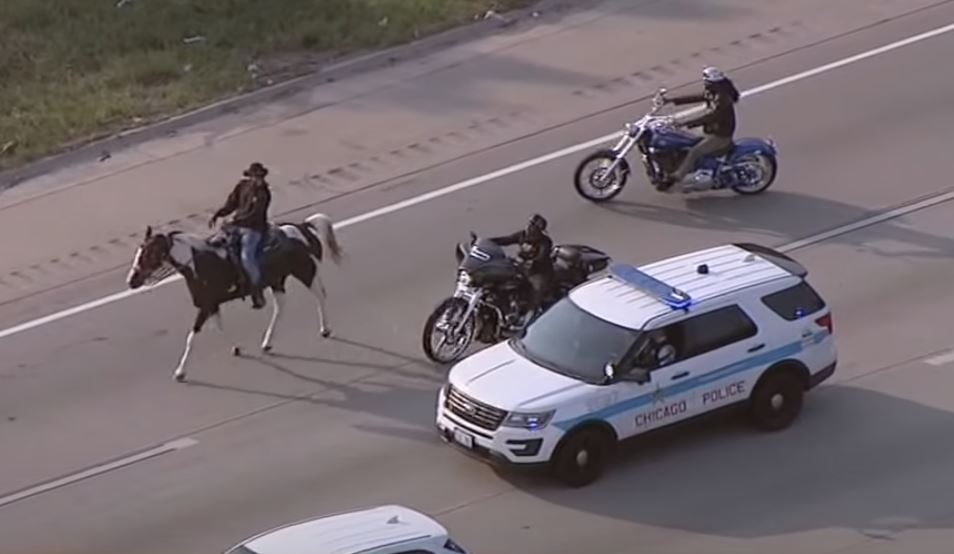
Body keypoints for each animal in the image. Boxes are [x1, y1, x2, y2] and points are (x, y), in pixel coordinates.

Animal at [124, 211, 344, 380]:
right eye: (139, 252)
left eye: (148, 254)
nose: (131, 281)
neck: (200, 263)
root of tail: (301, 227)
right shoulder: (212, 306)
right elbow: (220, 327)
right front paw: (236, 349)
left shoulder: (205, 306)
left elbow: (192, 337)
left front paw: (180, 372)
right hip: (277, 281)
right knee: (281, 307)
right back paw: (267, 343)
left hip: (304, 272)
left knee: (319, 295)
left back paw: (325, 329)